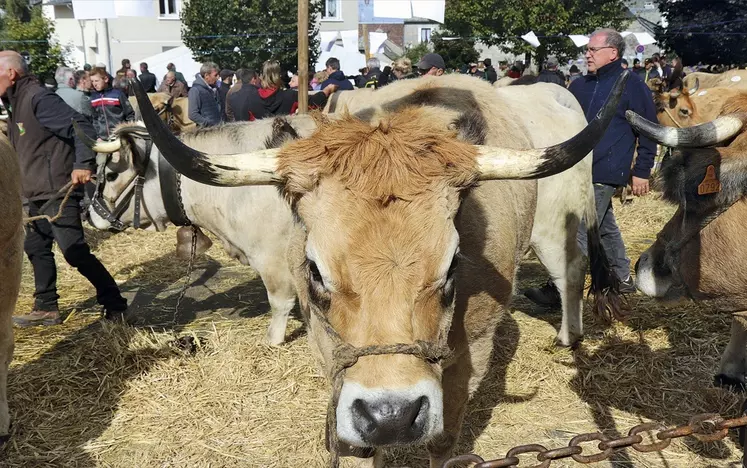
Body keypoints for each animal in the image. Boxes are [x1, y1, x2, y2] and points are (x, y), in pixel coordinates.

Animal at [136, 71, 632, 466]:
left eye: (452, 265)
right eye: (315, 270)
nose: (391, 416)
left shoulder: (470, 357)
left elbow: (443, 441)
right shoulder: (329, 352)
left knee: (569, 273)